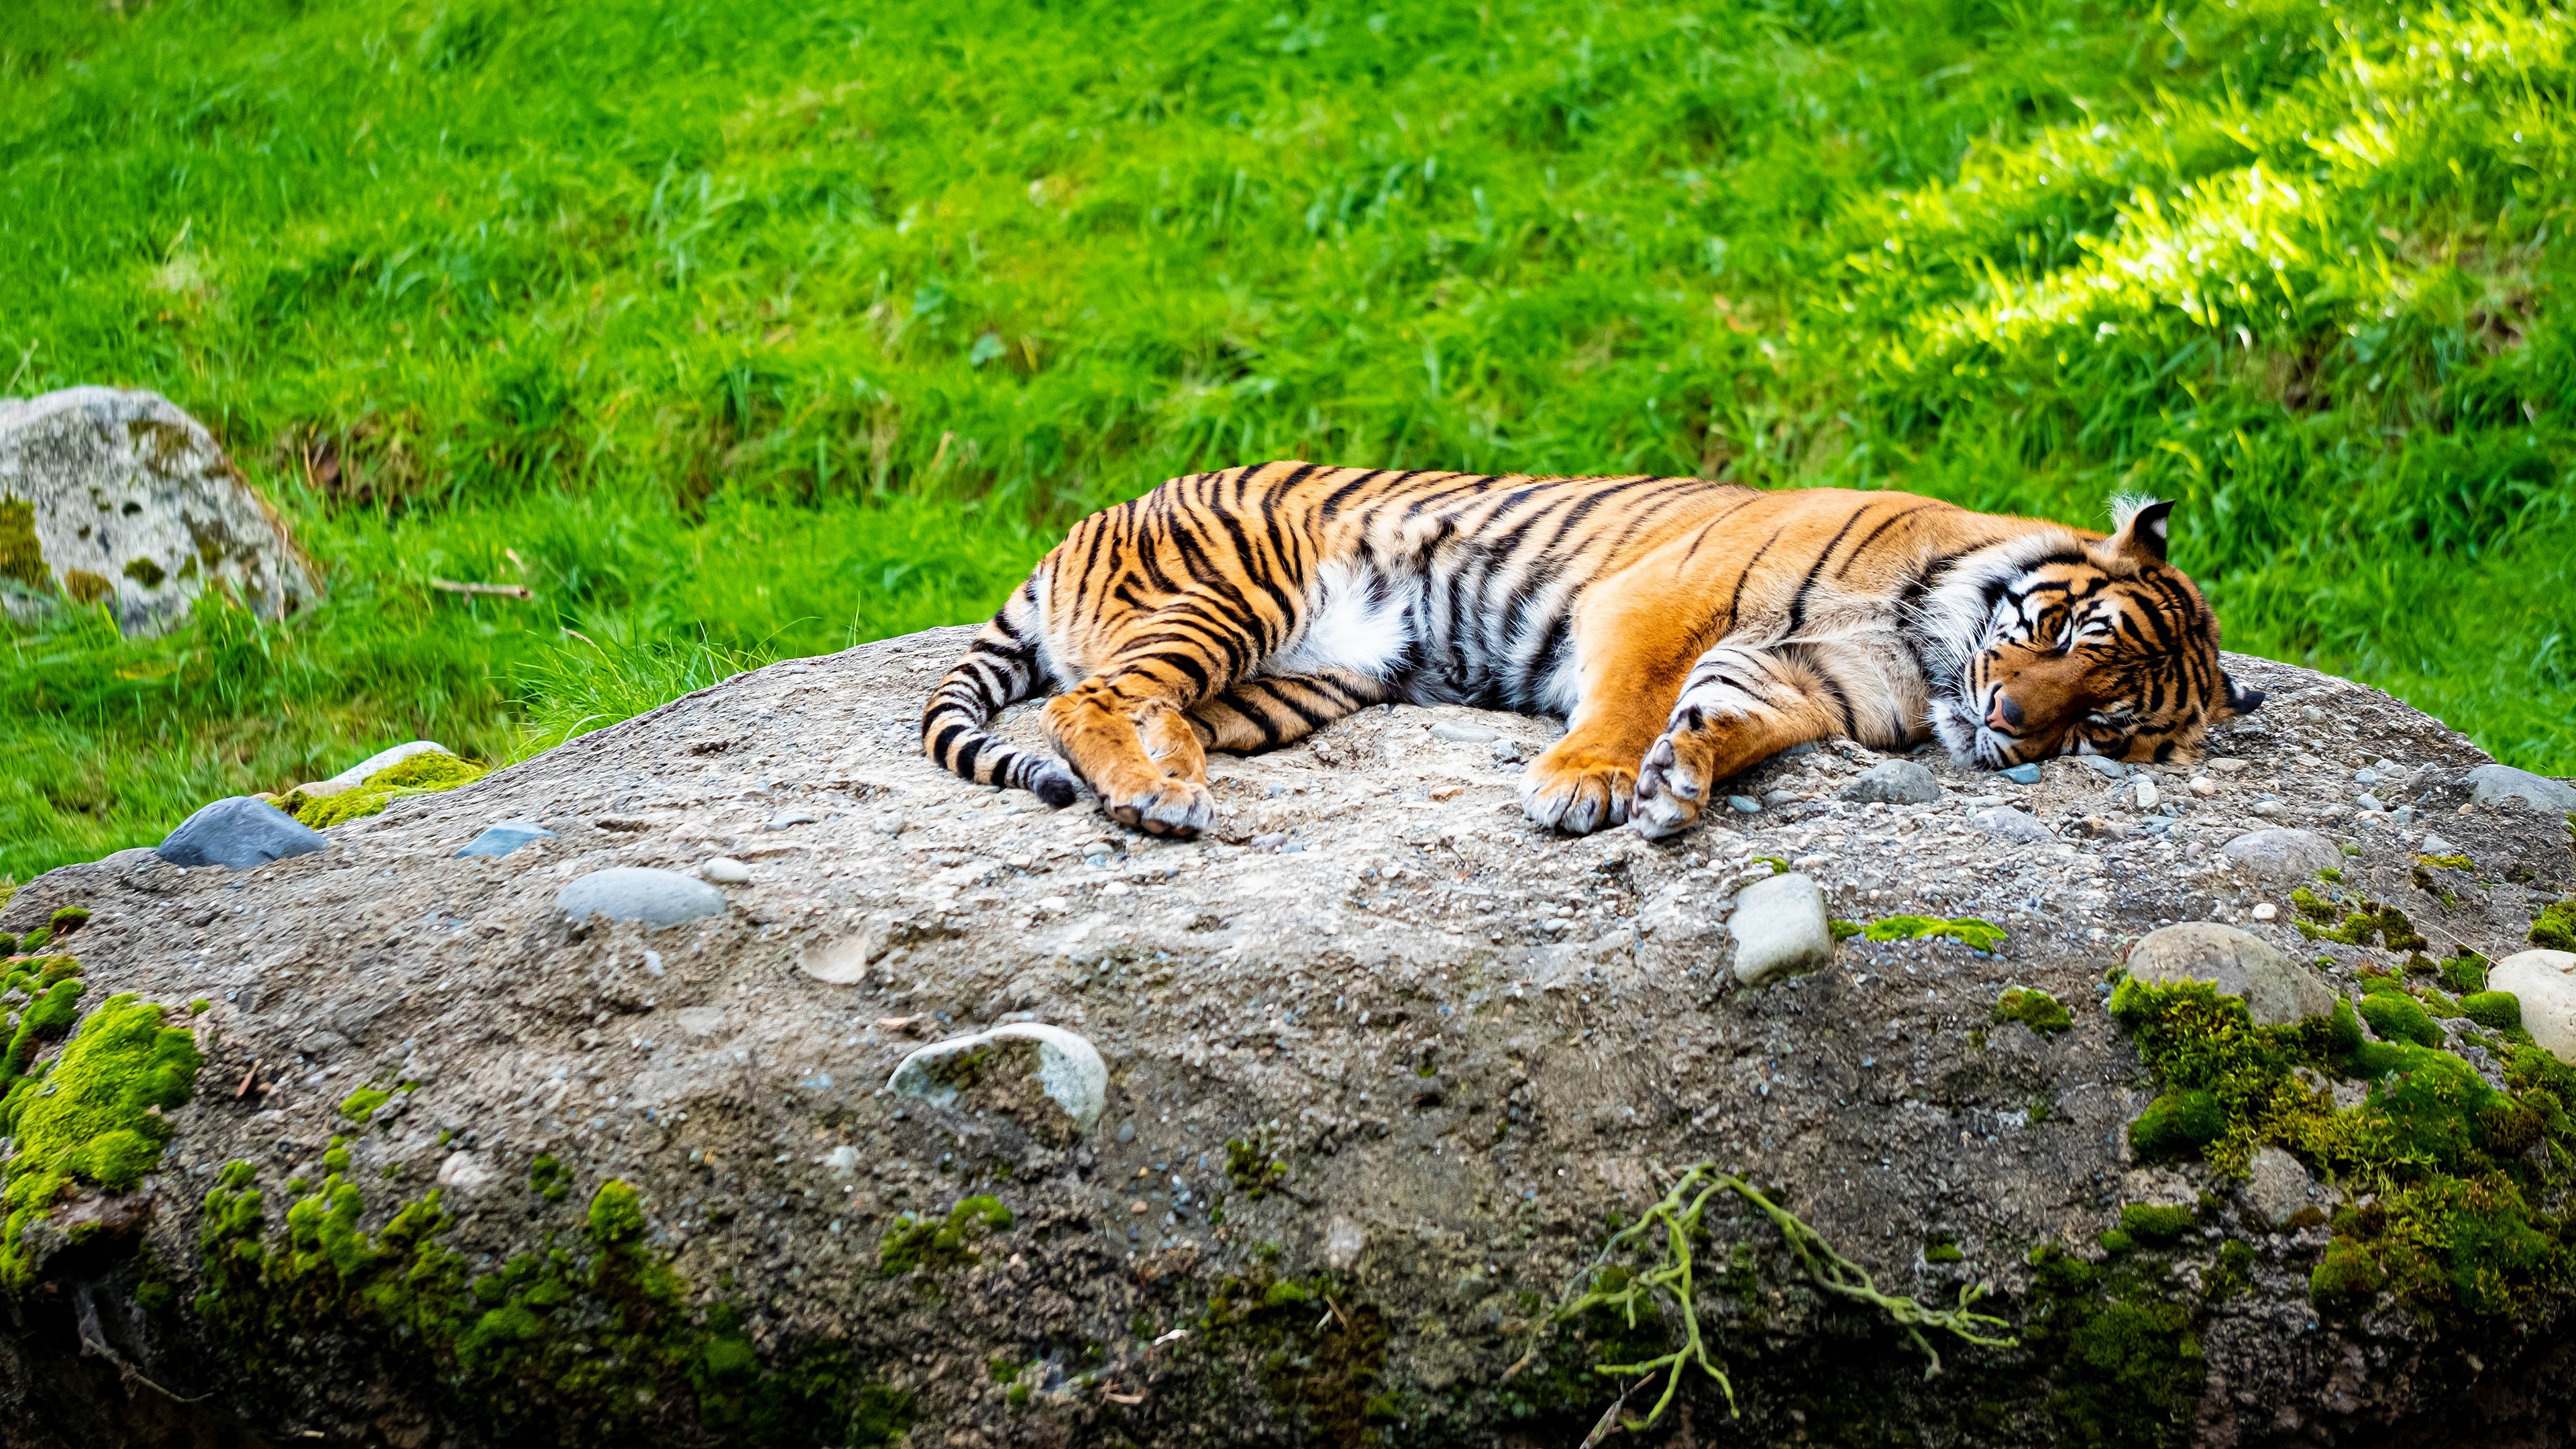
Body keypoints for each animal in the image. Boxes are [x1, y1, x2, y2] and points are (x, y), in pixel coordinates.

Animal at [922, 464, 2256, 835]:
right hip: (1230, 598)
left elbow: (1731, 720)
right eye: (2065, 631)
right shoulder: (1662, 596)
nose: (2017, 727)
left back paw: (1172, 782)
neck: (1923, 646)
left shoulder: (1799, 679)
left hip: (1299, 684)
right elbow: (1629, 695)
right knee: (1079, 706)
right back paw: (1156, 800)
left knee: (1142, 708)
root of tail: (1086, 521)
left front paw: (1682, 781)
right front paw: (1591, 783)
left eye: (2106, 725)